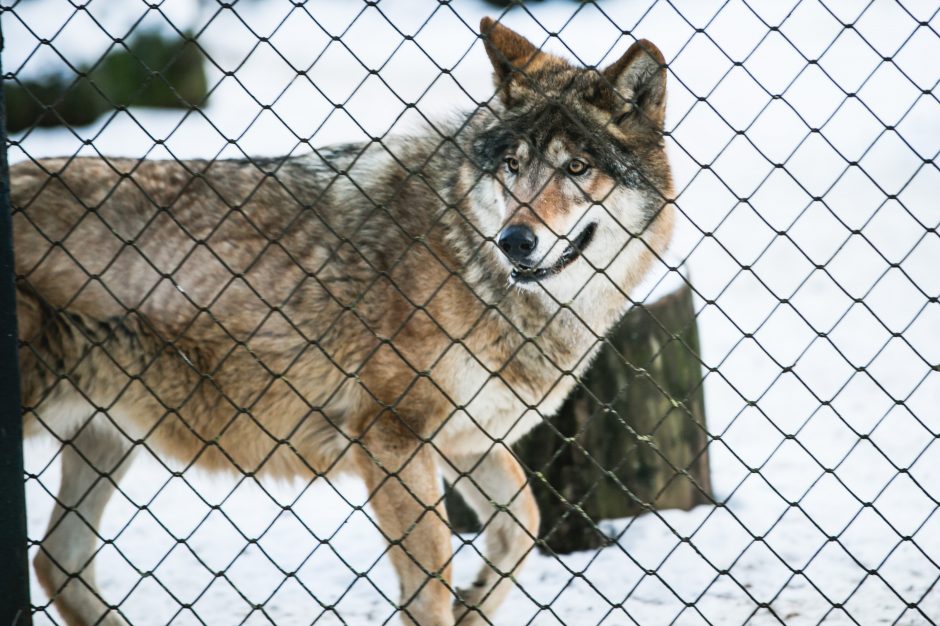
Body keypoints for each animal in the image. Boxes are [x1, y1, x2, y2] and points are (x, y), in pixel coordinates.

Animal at [12, 17, 676, 620]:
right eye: (512, 165)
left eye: (575, 169)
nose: (514, 240)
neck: (469, 260)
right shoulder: (389, 436)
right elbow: (430, 583)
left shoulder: (466, 441)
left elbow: (522, 526)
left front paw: (475, 605)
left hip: (105, 436)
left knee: (56, 559)